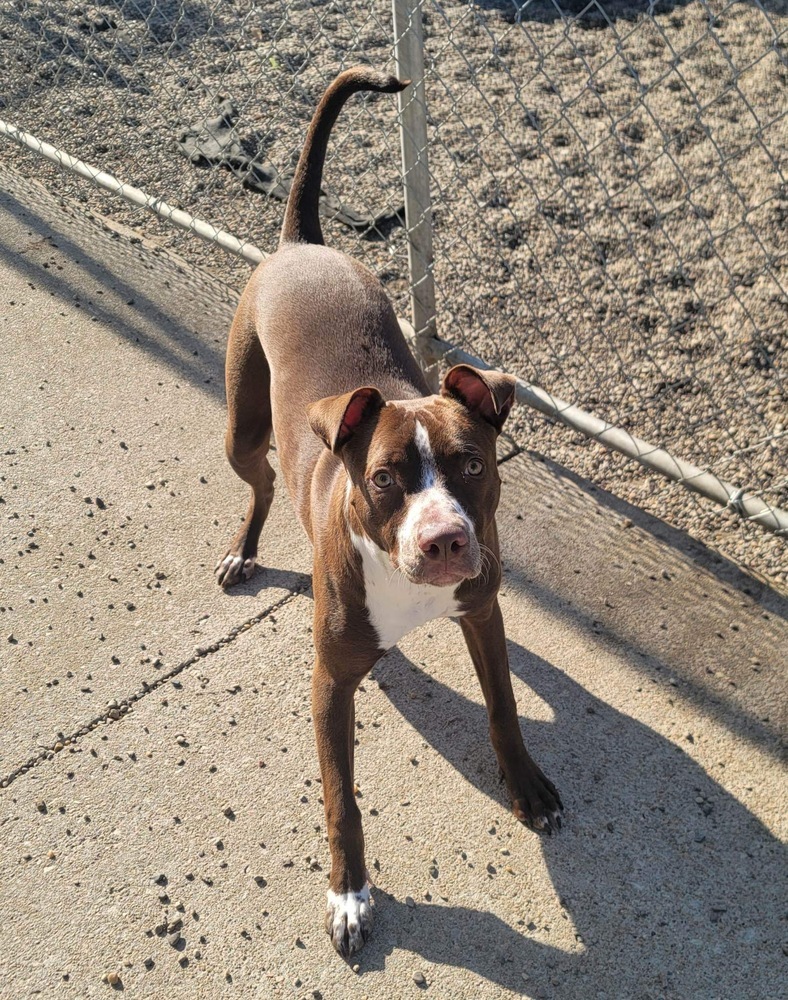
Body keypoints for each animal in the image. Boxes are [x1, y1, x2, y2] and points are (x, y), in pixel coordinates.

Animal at [215, 66, 560, 956]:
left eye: (472, 464)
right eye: (382, 479)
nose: (444, 543)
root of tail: (299, 245)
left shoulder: (483, 615)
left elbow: (506, 707)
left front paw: (527, 783)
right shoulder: (328, 685)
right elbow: (341, 799)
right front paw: (349, 894)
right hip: (242, 425)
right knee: (259, 483)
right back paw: (244, 548)